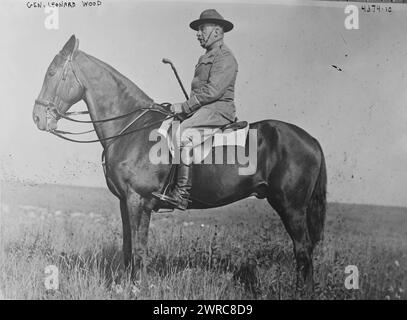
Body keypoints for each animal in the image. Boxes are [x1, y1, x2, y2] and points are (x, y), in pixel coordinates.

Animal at [32, 35, 328, 296]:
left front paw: (138, 288)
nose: (37, 117)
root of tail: (311, 139)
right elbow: (128, 246)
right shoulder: (125, 201)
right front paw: (126, 286)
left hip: (291, 206)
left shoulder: (138, 200)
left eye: (52, 72)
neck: (132, 128)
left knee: (303, 249)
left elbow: (139, 247)